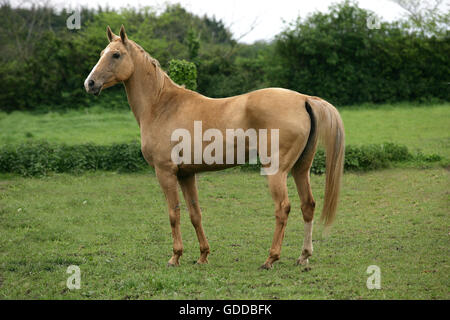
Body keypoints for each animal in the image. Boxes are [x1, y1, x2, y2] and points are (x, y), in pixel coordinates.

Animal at [84, 25, 344, 270]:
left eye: (116, 54)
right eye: (101, 53)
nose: (90, 83)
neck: (162, 105)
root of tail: (303, 99)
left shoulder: (165, 172)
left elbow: (174, 213)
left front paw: (175, 257)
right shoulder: (187, 175)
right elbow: (195, 214)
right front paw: (202, 256)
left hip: (276, 171)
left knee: (283, 208)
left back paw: (270, 259)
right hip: (301, 169)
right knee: (308, 205)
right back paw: (304, 256)